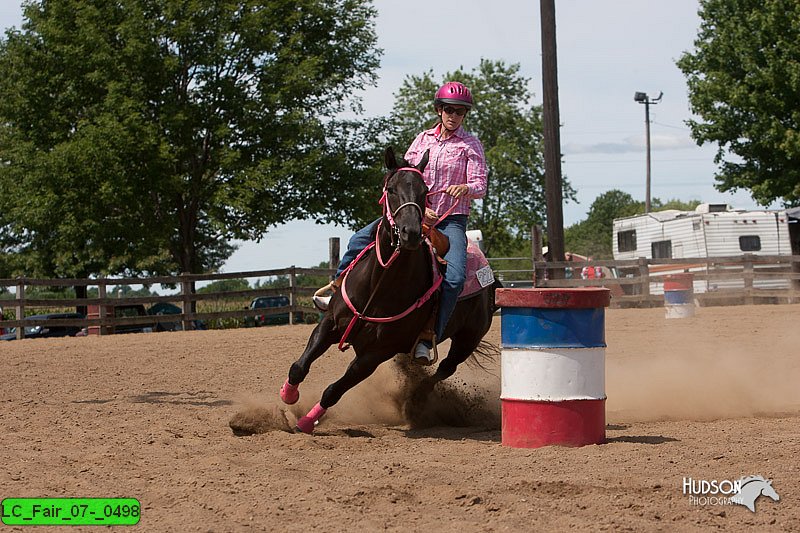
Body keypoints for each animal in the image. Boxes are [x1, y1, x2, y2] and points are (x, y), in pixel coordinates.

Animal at [278, 145, 496, 432]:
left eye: (425, 191)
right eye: (391, 189)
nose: (410, 233)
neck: (379, 285)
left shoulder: (375, 354)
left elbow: (335, 390)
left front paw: (306, 421)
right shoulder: (330, 324)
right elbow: (299, 366)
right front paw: (288, 396)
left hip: (468, 339)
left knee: (445, 369)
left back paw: (415, 401)